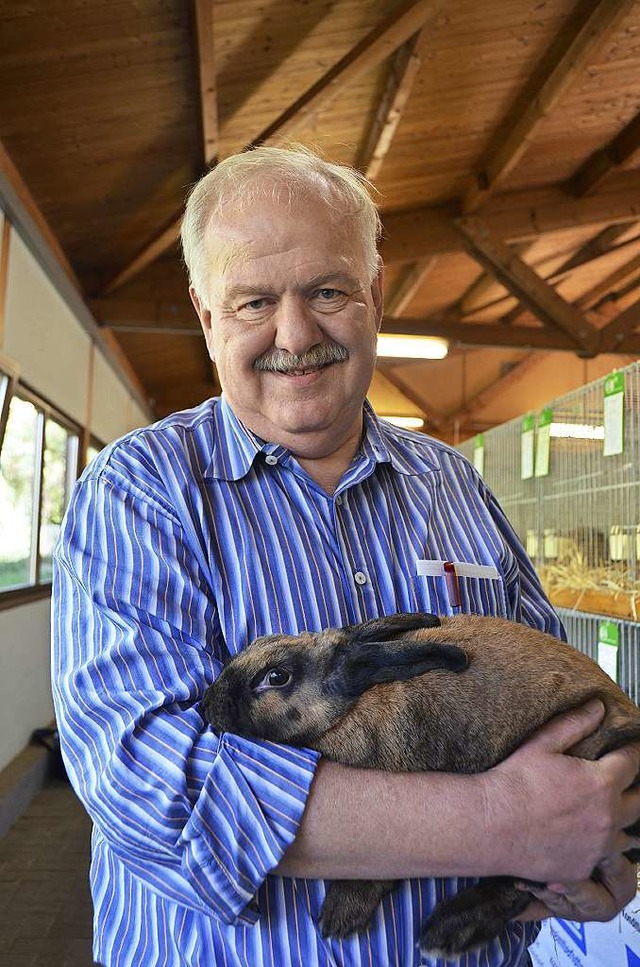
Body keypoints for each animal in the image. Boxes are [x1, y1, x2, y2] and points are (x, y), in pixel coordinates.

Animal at [200, 612, 640, 960]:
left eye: (276, 677)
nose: (206, 704)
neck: (350, 708)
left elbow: (373, 868)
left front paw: (339, 918)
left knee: (522, 883)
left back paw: (446, 932)